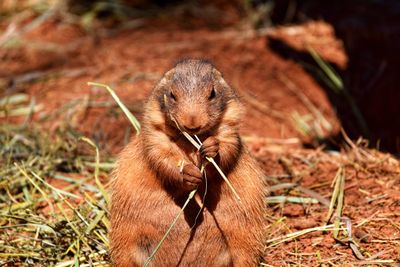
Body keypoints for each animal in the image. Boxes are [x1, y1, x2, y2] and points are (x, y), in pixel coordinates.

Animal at [110, 59, 266, 266]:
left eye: (212, 93)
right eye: (172, 94)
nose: (192, 123)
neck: (191, 140)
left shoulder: (230, 129)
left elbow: (227, 149)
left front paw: (210, 149)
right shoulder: (154, 134)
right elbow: (160, 157)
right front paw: (189, 174)